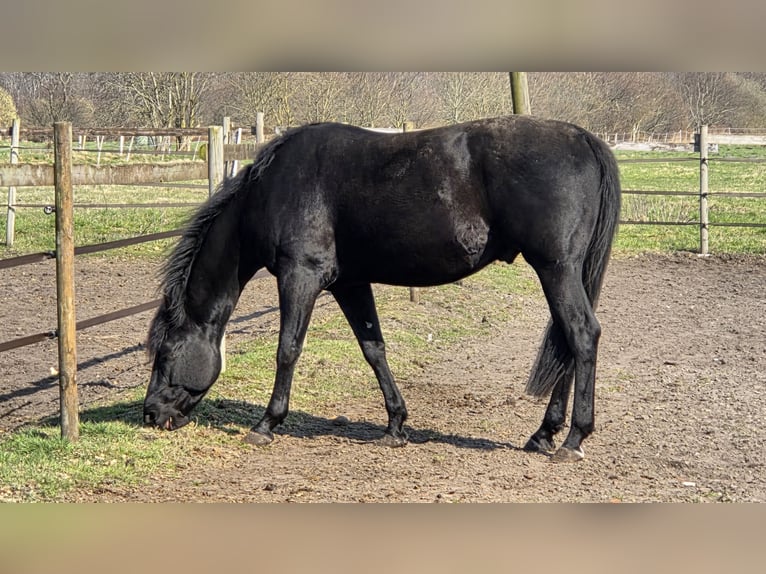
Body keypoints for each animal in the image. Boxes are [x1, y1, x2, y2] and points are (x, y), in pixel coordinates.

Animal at [143, 115, 620, 463]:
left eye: (164, 354)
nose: (150, 415)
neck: (272, 190)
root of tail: (584, 139)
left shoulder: (301, 277)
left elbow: (288, 349)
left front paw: (266, 424)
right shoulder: (351, 285)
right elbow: (374, 349)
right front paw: (395, 426)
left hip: (556, 269)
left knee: (582, 335)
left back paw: (572, 439)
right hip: (565, 273)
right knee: (568, 342)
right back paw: (544, 434)